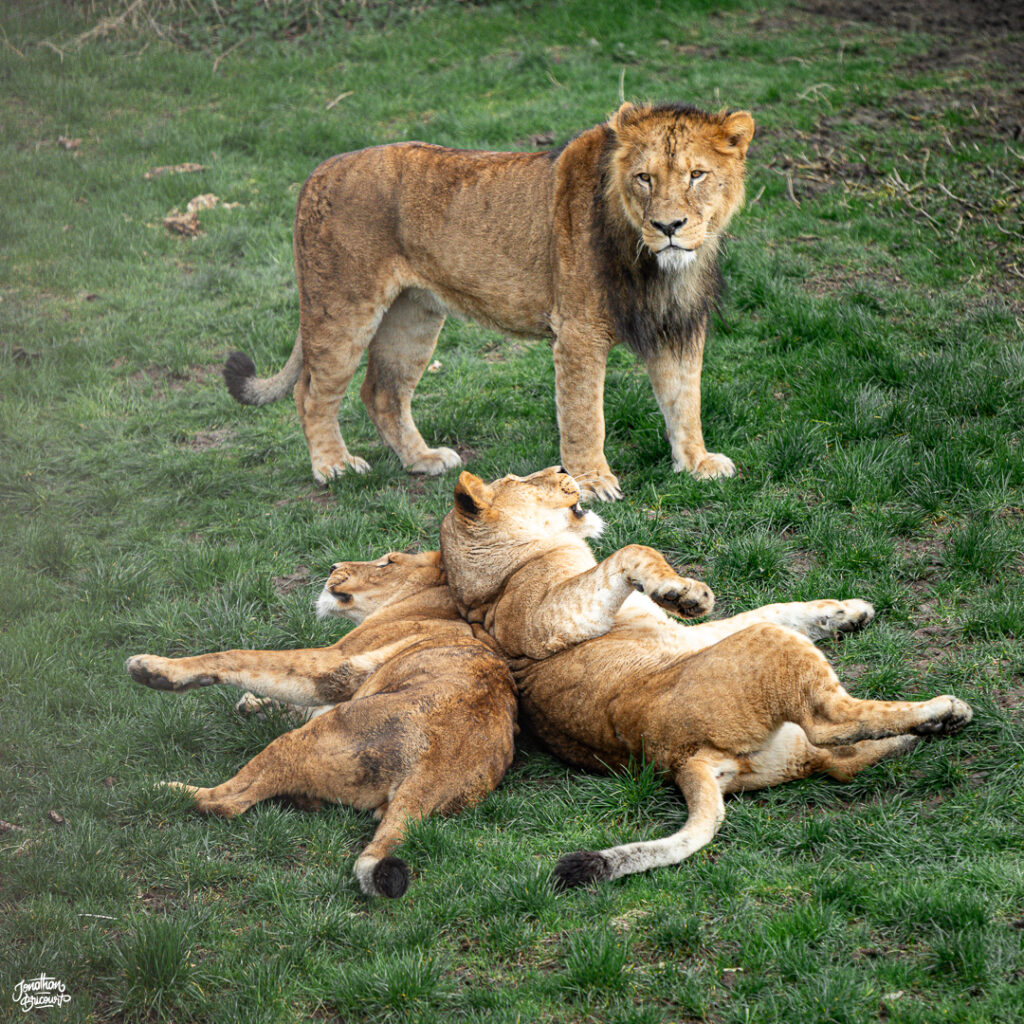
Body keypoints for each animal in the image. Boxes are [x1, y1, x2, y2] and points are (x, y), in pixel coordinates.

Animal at [126, 550, 516, 898]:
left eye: (387, 561)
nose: (333, 565)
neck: (434, 604)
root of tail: (438, 769)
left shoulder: (335, 662)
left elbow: (242, 658)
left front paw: (153, 669)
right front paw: (254, 705)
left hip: (300, 741)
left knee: (228, 802)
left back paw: (163, 790)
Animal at [224, 102, 755, 500]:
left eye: (697, 175)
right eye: (645, 178)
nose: (668, 227)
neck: (656, 266)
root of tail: (319, 170)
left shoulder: (678, 325)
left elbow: (685, 400)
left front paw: (697, 462)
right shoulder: (579, 331)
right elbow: (585, 415)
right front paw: (590, 481)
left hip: (413, 316)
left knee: (382, 392)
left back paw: (423, 460)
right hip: (342, 307)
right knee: (312, 393)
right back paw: (332, 466)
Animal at [439, 468, 973, 886]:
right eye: (518, 480)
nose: (562, 468)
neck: (486, 587)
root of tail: (681, 761)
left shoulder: (691, 633)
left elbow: (776, 607)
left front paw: (847, 611)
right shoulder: (545, 616)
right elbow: (632, 550)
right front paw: (682, 591)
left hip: (788, 740)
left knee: (837, 761)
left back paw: (923, 732)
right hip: (773, 654)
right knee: (831, 720)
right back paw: (944, 711)